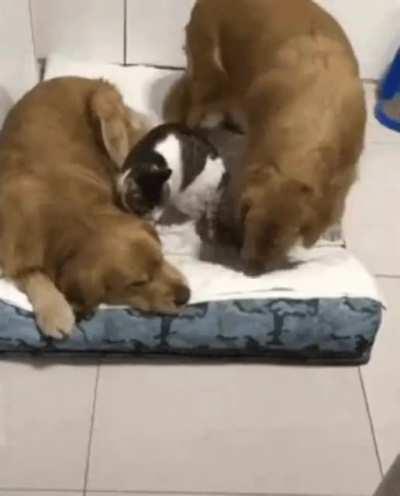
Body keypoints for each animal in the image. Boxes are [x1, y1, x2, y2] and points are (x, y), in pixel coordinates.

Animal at [0, 77, 190, 340]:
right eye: (137, 284)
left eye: (161, 259)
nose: (186, 296)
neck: (72, 212)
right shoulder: (12, 251)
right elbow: (34, 275)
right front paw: (55, 311)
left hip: (110, 122)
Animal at [164, 0, 368, 274]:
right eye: (248, 224)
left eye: (290, 237)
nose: (253, 271)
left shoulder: (344, 174)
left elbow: (336, 204)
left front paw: (333, 228)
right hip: (208, 90)